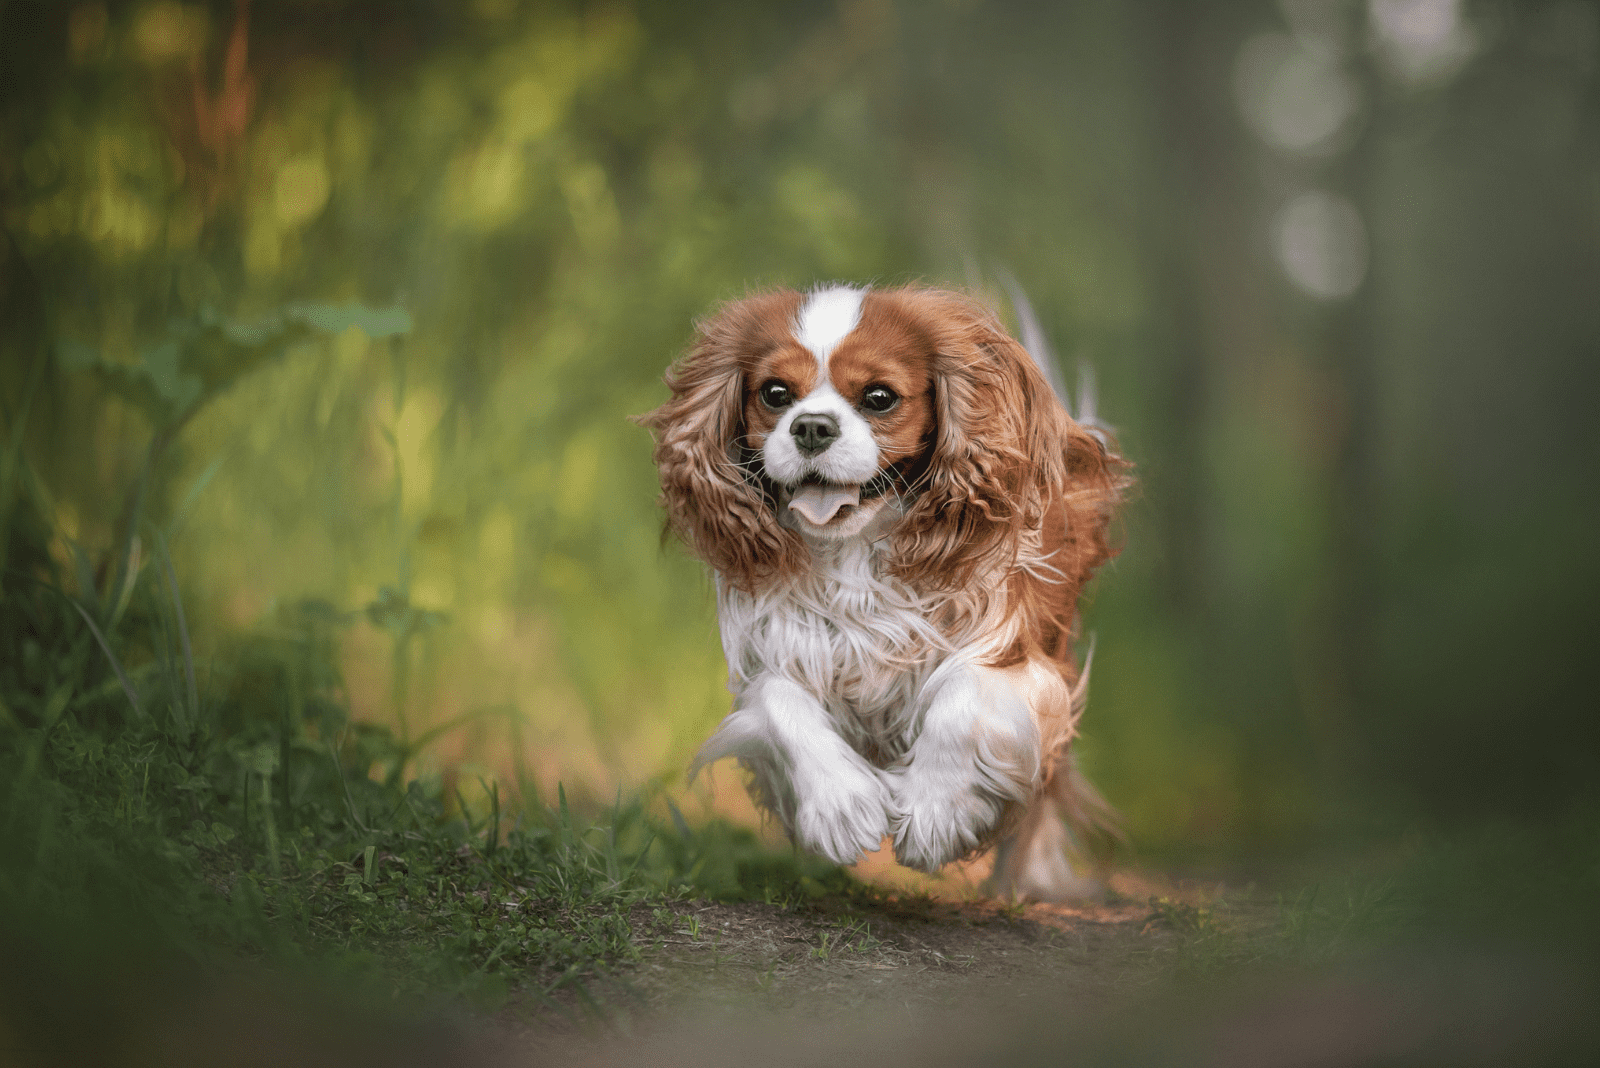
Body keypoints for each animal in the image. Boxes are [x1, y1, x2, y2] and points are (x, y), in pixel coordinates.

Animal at [636, 286, 1126, 901]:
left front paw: (937, 812)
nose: (811, 426)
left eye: (879, 397)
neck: (854, 554)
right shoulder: (773, 648)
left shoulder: (1021, 657)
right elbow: (777, 698)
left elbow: (965, 692)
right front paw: (840, 806)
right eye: (775, 393)